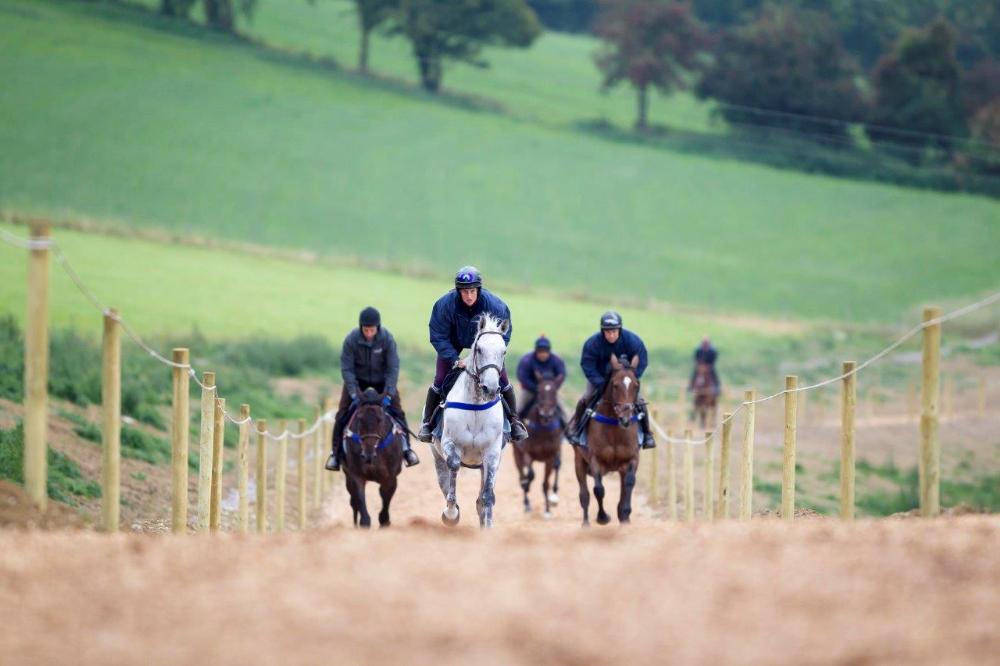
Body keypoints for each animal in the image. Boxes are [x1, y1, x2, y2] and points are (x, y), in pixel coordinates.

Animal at [340, 388, 404, 528]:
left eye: (380, 419)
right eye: (359, 419)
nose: (368, 454)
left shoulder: (390, 478)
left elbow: (385, 500)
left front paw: (385, 522)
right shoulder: (357, 476)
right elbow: (360, 502)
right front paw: (363, 524)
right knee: (353, 503)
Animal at [431, 314, 509, 528]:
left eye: (504, 351)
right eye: (479, 349)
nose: (490, 388)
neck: (475, 405)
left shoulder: (492, 454)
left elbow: (487, 496)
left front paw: (488, 526)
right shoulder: (449, 444)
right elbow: (454, 467)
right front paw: (450, 514)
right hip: (437, 458)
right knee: (445, 482)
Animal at [512, 372, 563, 518]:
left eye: (555, 392)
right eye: (539, 391)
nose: (546, 415)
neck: (543, 429)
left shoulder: (550, 457)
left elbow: (545, 484)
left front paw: (547, 510)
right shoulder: (527, 453)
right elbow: (531, 474)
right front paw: (527, 486)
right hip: (517, 454)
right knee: (522, 475)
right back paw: (527, 503)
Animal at [573, 354, 641, 526]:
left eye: (636, 385)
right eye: (615, 385)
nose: (625, 418)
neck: (615, 431)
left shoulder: (631, 459)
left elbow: (629, 483)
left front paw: (625, 515)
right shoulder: (595, 460)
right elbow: (598, 490)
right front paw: (603, 517)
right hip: (579, 461)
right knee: (584, 495)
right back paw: (586, 524)